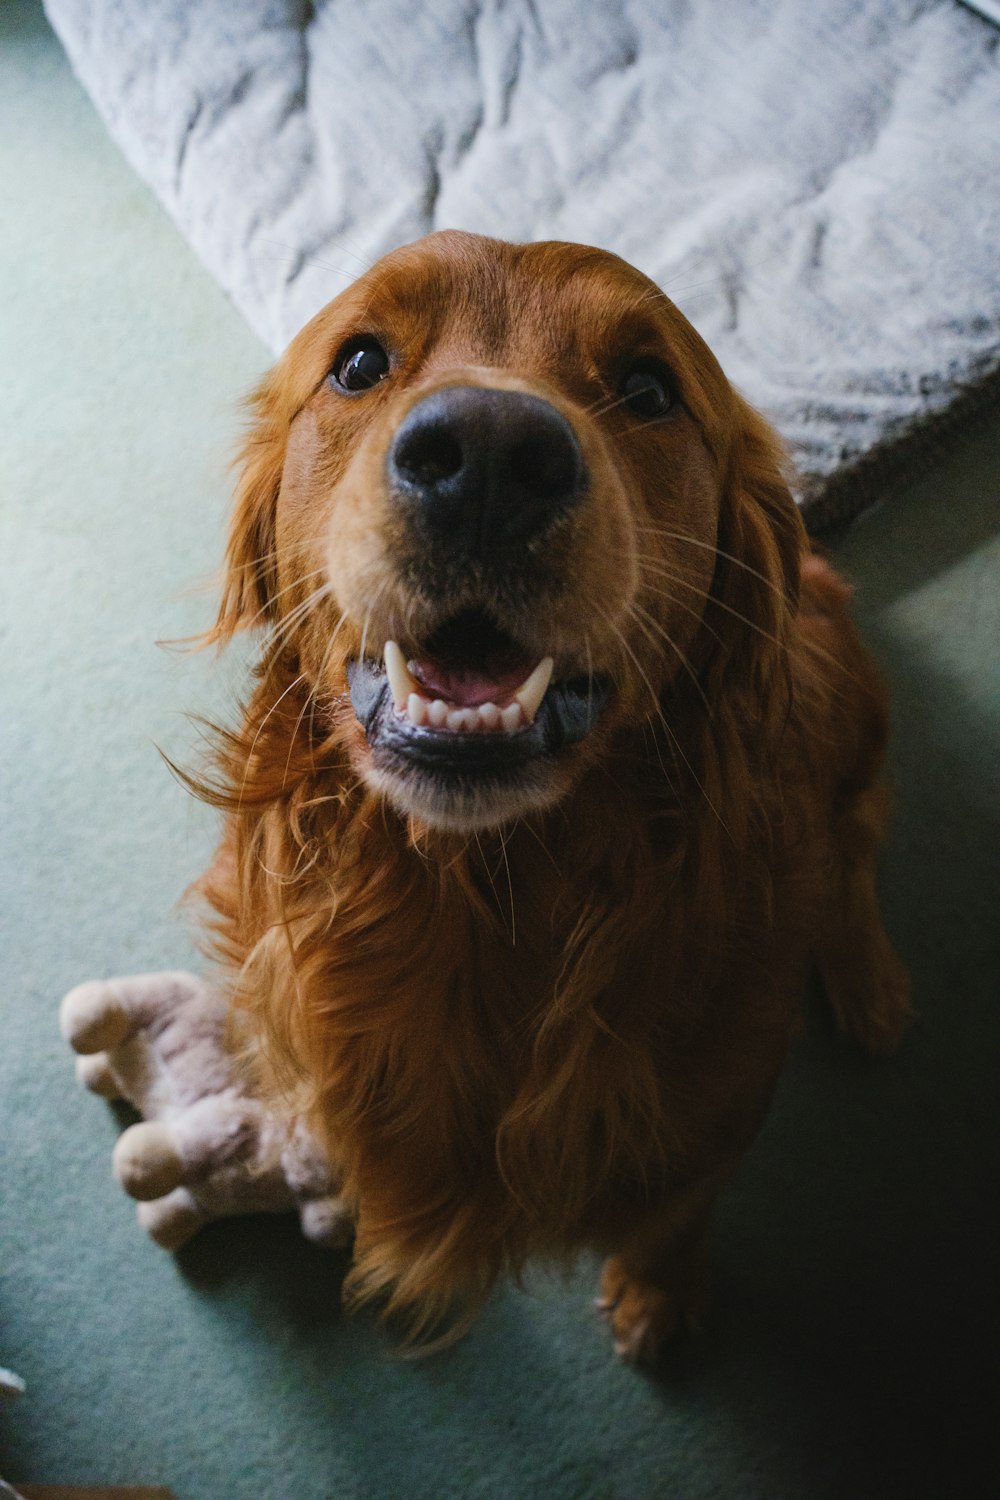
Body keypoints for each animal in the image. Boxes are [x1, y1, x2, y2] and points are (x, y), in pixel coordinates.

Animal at [189, 231, 917, 1362]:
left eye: (648, 388)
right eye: (359, 363)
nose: (488, 456)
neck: (481, 901)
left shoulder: (719, 1107)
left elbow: (675, 1211)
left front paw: (657, 1296)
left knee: (857, 841)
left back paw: (868, 977)